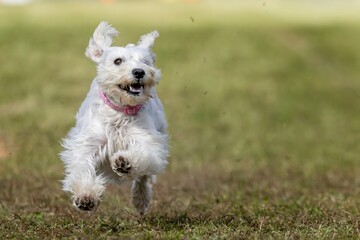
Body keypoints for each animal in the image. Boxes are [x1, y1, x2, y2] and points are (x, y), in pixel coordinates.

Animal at [60, 21, 169, 215]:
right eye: (117, 61)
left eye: (145, 62)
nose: (139, 71)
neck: (120, 111)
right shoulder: (88, 142)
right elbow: (82, 166)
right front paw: (86, 196)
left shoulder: (147, 138)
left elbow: (144, 154)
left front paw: (125, 162)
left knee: (144, 177)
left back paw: (140, 199)